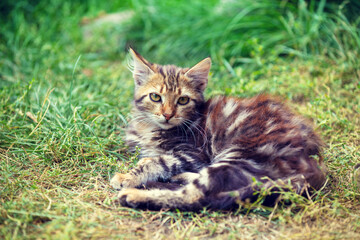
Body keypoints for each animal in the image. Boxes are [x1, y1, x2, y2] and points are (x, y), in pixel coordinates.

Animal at [109, 48, 326, 210]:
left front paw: (127, 177)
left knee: (199, 196)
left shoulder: (193, 153)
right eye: (155, 97)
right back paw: (180, 177)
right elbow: (150, 158)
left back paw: (134, 196)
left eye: (183, 100)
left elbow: (157, 161)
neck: (149, 127)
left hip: (240, 153)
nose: (168, 114)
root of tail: (312, 162)